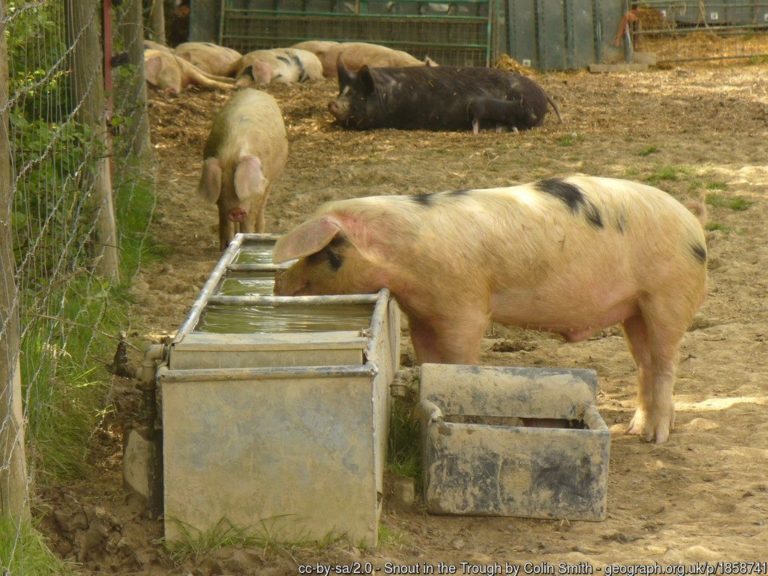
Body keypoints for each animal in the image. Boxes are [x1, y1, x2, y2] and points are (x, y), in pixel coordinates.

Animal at [198, 89, 288, 249]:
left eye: (238, 182)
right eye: (223, 184)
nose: (236, 211)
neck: (231, 152)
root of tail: (256, 90)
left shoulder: (257, 192)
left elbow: (250, 217)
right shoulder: (222, 204)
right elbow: (224, 221)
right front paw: (225, 247)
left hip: (271, 180)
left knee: (262, 208)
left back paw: (260, 233)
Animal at [272, 173, 712, 444]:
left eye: (323, 252)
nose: (278, 285)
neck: (402, 257)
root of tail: (692, 221)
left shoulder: (463, 306)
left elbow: (459, 359)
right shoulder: (424, 313)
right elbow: (431, 362)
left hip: (668, 295)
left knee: (665, 362)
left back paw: (656, 438)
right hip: (633, 308)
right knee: (644, 363)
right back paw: (632, 430)